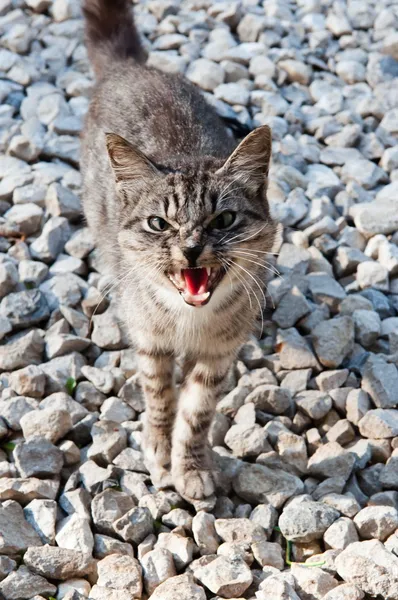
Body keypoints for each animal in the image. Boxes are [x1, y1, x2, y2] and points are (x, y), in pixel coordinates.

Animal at [82, 0, 278, 500]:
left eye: (223, 220)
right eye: (159, 224)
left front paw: (190, 465)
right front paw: (157, 449)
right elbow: (160, 398)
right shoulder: (150, 343)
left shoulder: (218, 355)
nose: (190, 249)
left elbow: (196, 413)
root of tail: (131, 68)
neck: (189, 322)